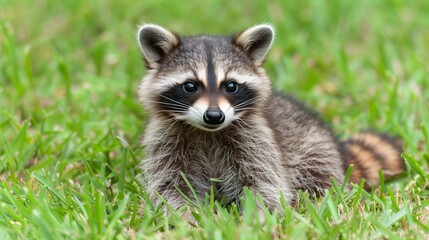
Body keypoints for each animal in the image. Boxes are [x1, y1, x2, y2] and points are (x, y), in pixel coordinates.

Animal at [135, 23, 404, 213]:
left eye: (230, 86)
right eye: (190, 86)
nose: (214, 116)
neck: (209, 132)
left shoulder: (257, 140)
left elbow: (265, 182)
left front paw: (255, 219)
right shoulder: (166, 140)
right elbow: (171, 185)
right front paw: (187, 216)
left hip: (315, 147)